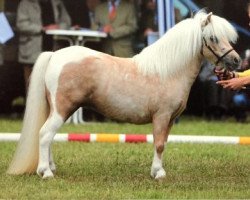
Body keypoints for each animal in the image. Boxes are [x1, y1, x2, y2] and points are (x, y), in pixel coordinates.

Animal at [7, 11, 240, 179]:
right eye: (213, 38)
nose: (236, 61)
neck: (168, 72)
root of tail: (55, 55)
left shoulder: (170, 120)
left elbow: (163, 143)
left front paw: (157, 170)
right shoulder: (161, 116)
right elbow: (159, 144)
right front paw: (158, 174)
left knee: (49, 136)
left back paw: (51, 168)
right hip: (62, 109)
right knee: (45, 134)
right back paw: (45, 172)